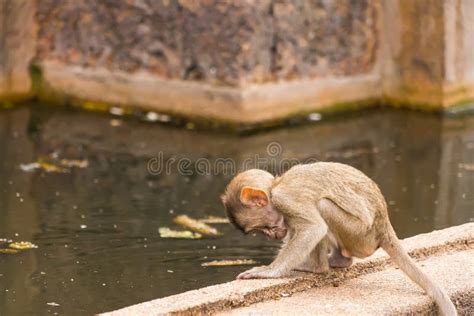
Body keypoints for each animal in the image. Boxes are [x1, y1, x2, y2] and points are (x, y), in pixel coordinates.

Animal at [223, 163, 460, 316]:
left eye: (265, 228)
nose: (272, 235)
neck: (276, 185)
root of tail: (384, 224)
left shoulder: (285, 199)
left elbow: (314, 228)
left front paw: (268, 271)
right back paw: (338, 261)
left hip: (360, 236)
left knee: (323, 207)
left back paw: (317, 267)